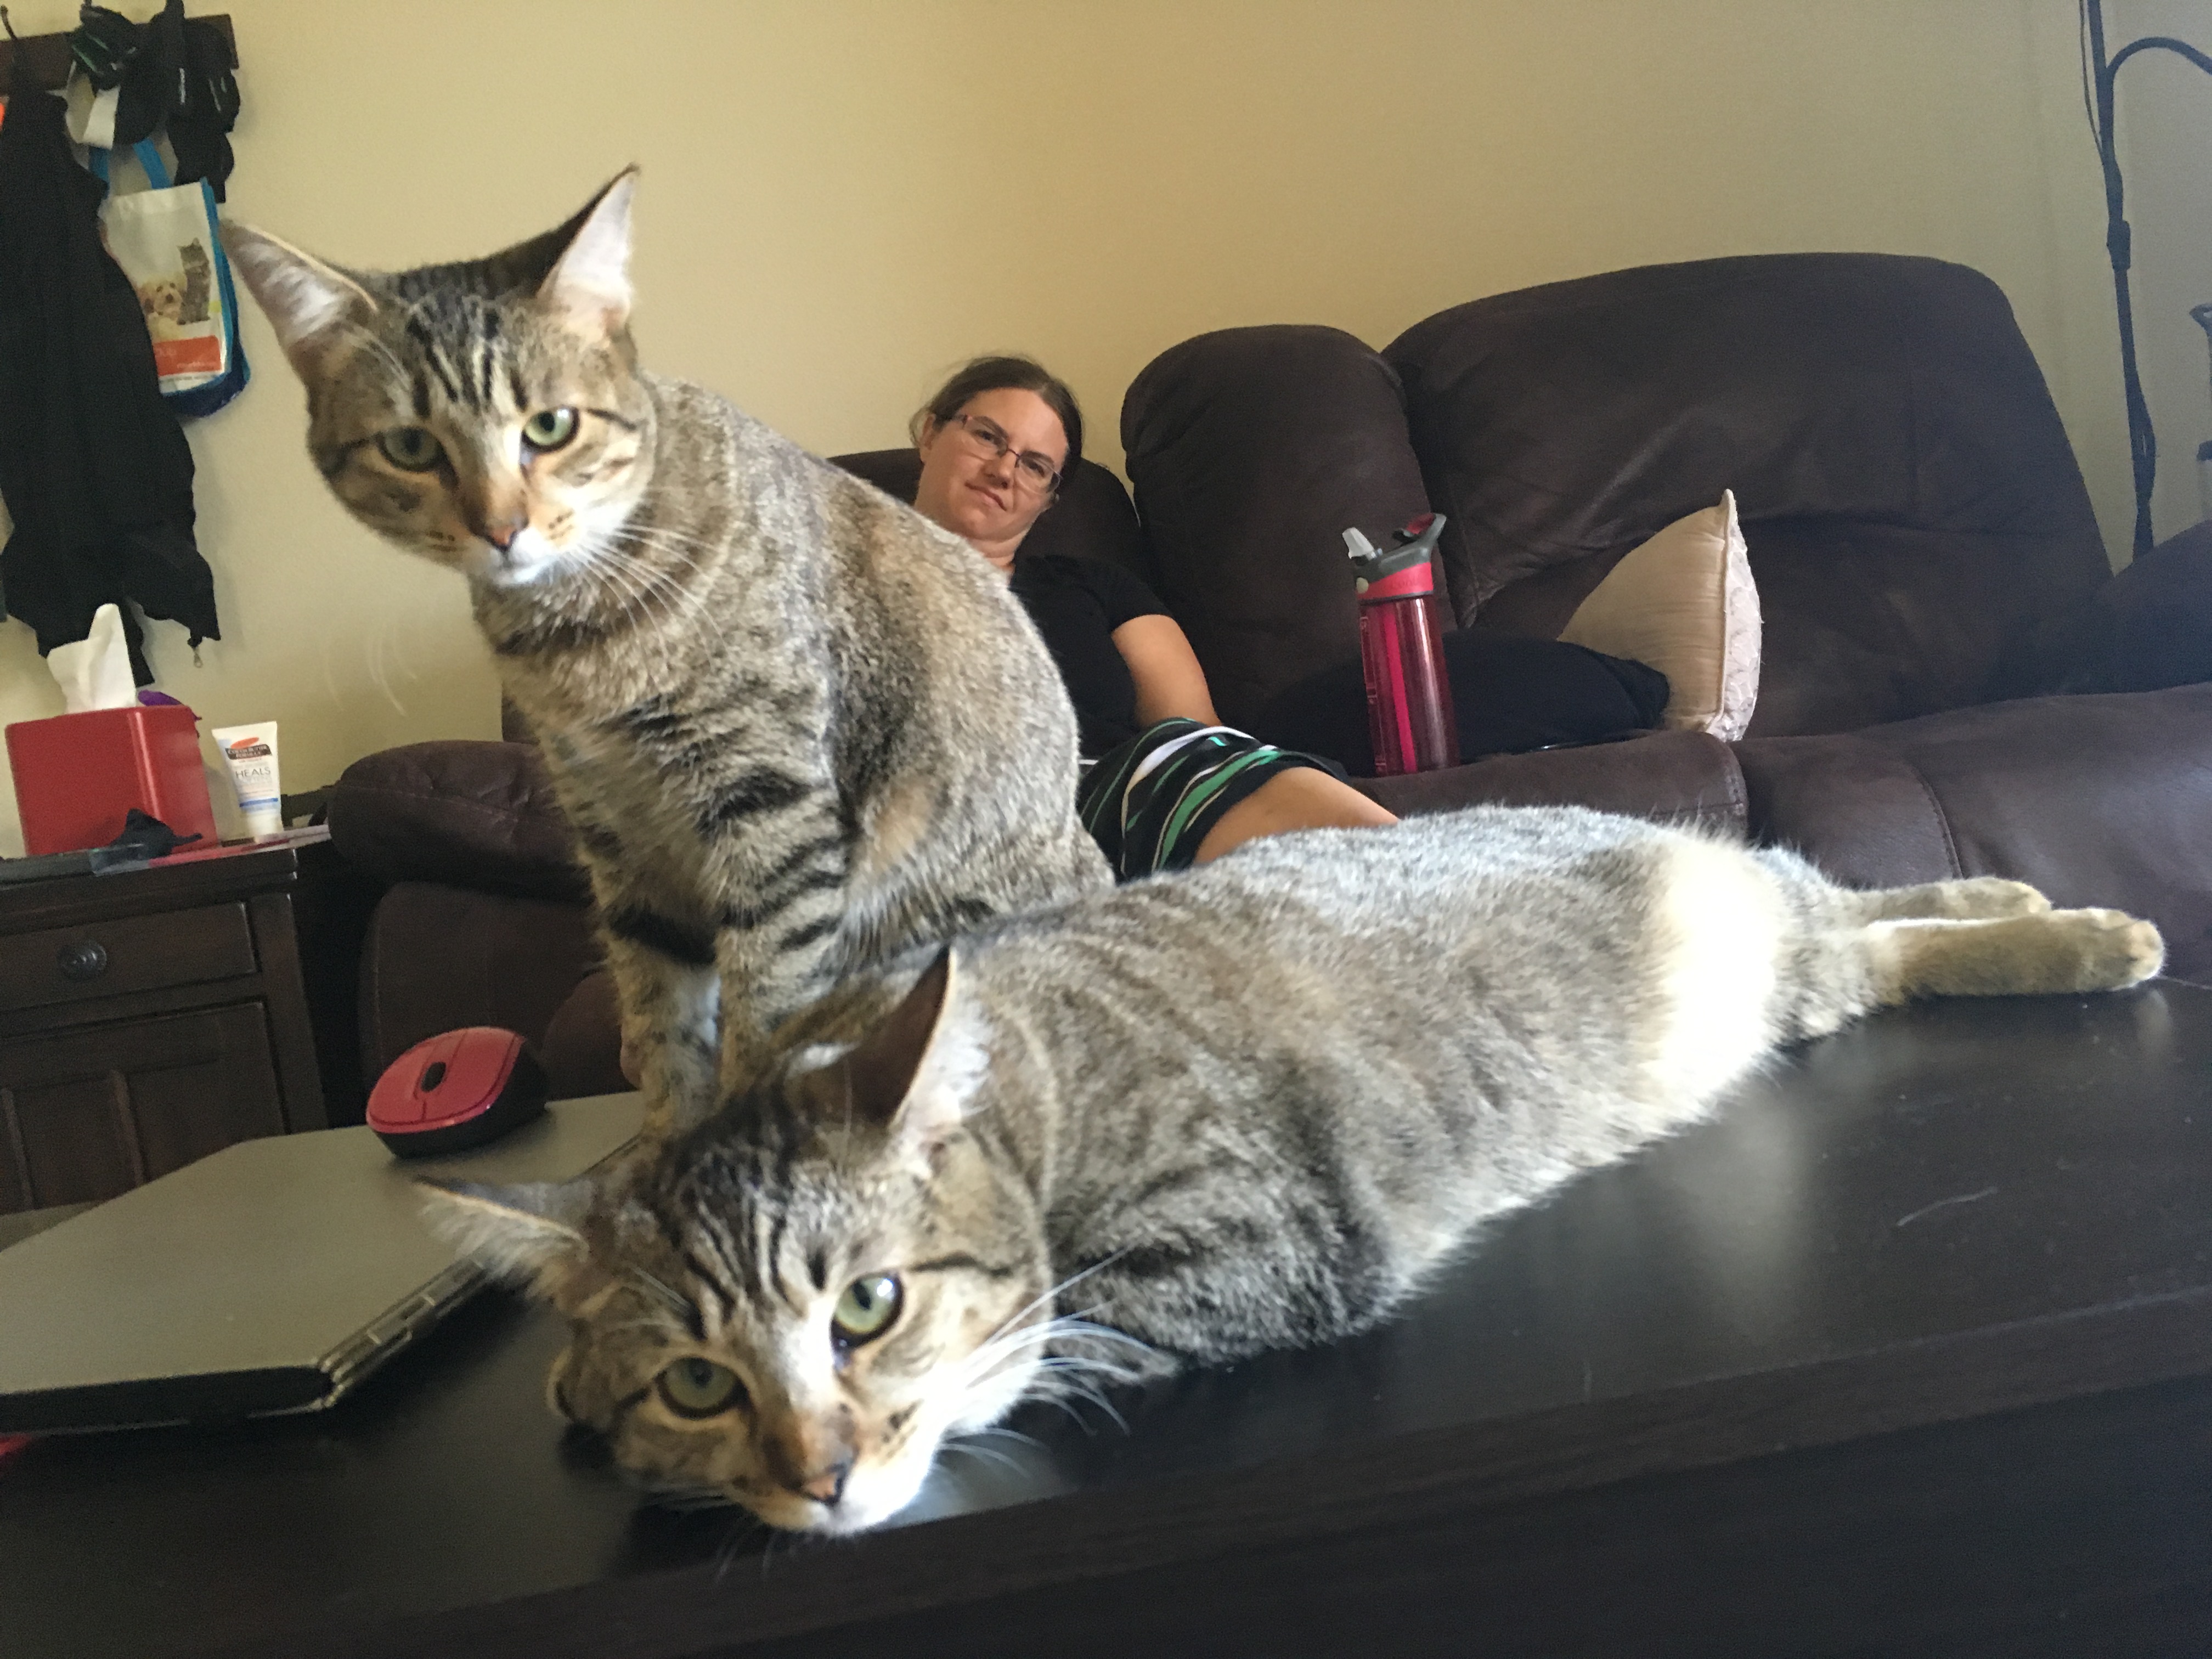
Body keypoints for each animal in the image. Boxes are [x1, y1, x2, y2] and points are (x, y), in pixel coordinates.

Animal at [221, 172, 1111, 1136]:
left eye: (550, 426)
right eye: (411, 446)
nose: (501, 527)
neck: (579, 635)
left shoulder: (771, 808)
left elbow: (766, 1001)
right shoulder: (621, 838)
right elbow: (660, 1015)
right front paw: (667, 1138)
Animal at [424, 804, 2166, 1535]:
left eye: (867, 1308)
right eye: (699, 1386)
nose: (821, 1476)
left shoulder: (1254, 1241)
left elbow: (1046, 1342)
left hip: (1762, 951)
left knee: (1867, 922)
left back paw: (2077, 931)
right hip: (1777, 954)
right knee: (1865, 907)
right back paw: (2009, 888)